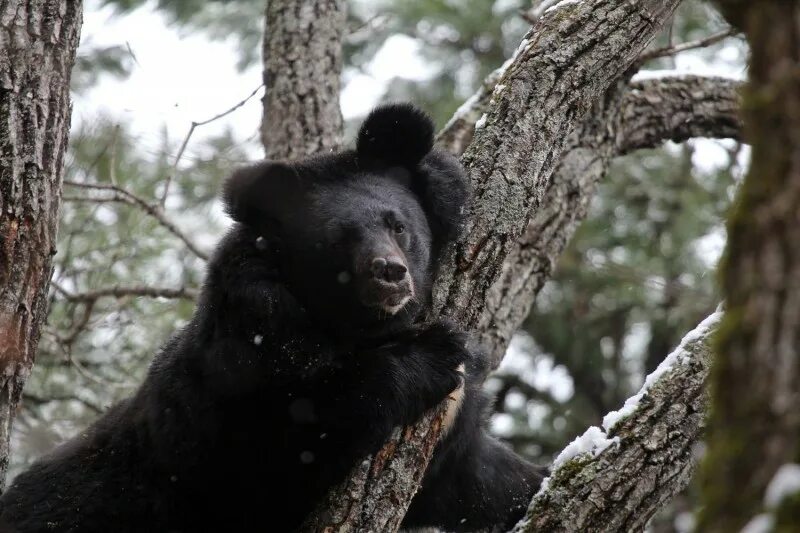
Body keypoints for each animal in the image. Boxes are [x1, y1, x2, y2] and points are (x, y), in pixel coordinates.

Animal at [0, 102, 544, 528]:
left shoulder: (452, 458)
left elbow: (482, 479)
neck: (352, 327)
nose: (390, 274)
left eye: (399, 225)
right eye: (338, 240)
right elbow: (294, 436)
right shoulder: (241, 377)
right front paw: (435, 352)